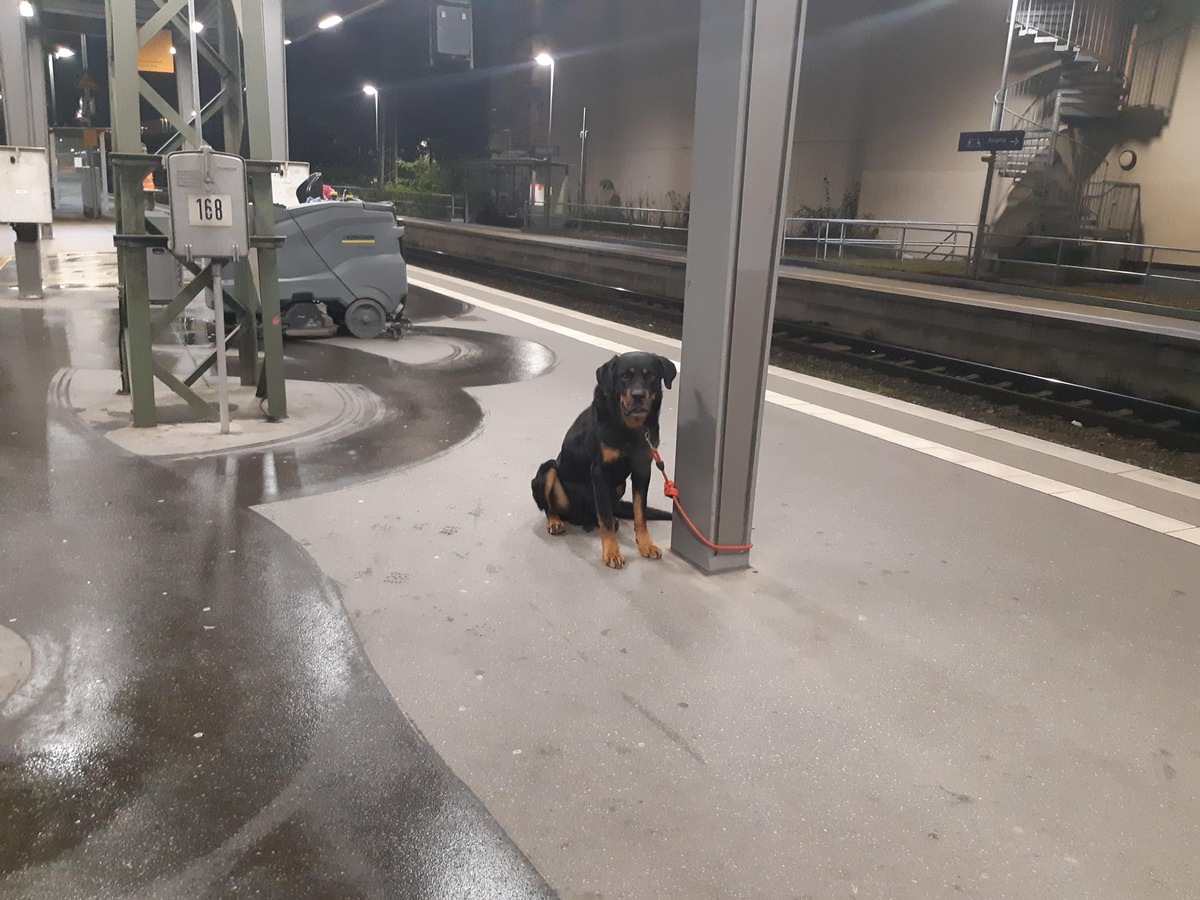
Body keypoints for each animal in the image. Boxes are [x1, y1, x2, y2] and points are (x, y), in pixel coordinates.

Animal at [532, 350, 676, 566]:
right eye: (624, 376)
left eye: (651, 375)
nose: (638, 396)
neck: (630, 428)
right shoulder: (600, 471)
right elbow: (605, 519)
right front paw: (612, 552)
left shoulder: (642, 469)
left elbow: (639, 512)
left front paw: (645, 544)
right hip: (547, 470)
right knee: (552, 506)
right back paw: (555, 521)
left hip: (618, 486)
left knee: (603, 511)